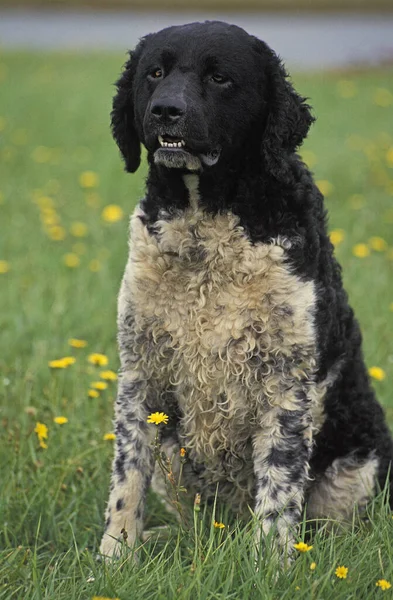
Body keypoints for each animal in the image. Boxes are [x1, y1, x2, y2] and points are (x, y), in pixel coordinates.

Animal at [99, 19, 392, 564]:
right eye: (155, 72)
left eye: (220, 78)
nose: (165, 109)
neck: (205, 233)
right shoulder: (140, 372)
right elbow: (127, 479)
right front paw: (114, 556)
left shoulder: (288, 382)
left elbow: (278, 488)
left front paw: (269, 566)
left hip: (357, 464)